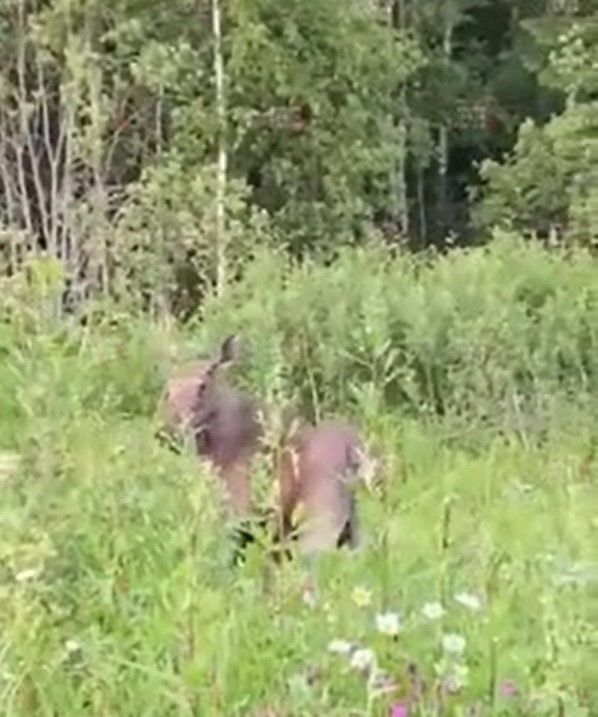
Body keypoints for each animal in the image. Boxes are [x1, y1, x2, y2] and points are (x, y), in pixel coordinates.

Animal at [157, 336, 378, 560]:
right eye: (167, 390)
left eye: (203, 386)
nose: (165, 432)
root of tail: (354, 455)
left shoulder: (237, 510)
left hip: (318, 524)